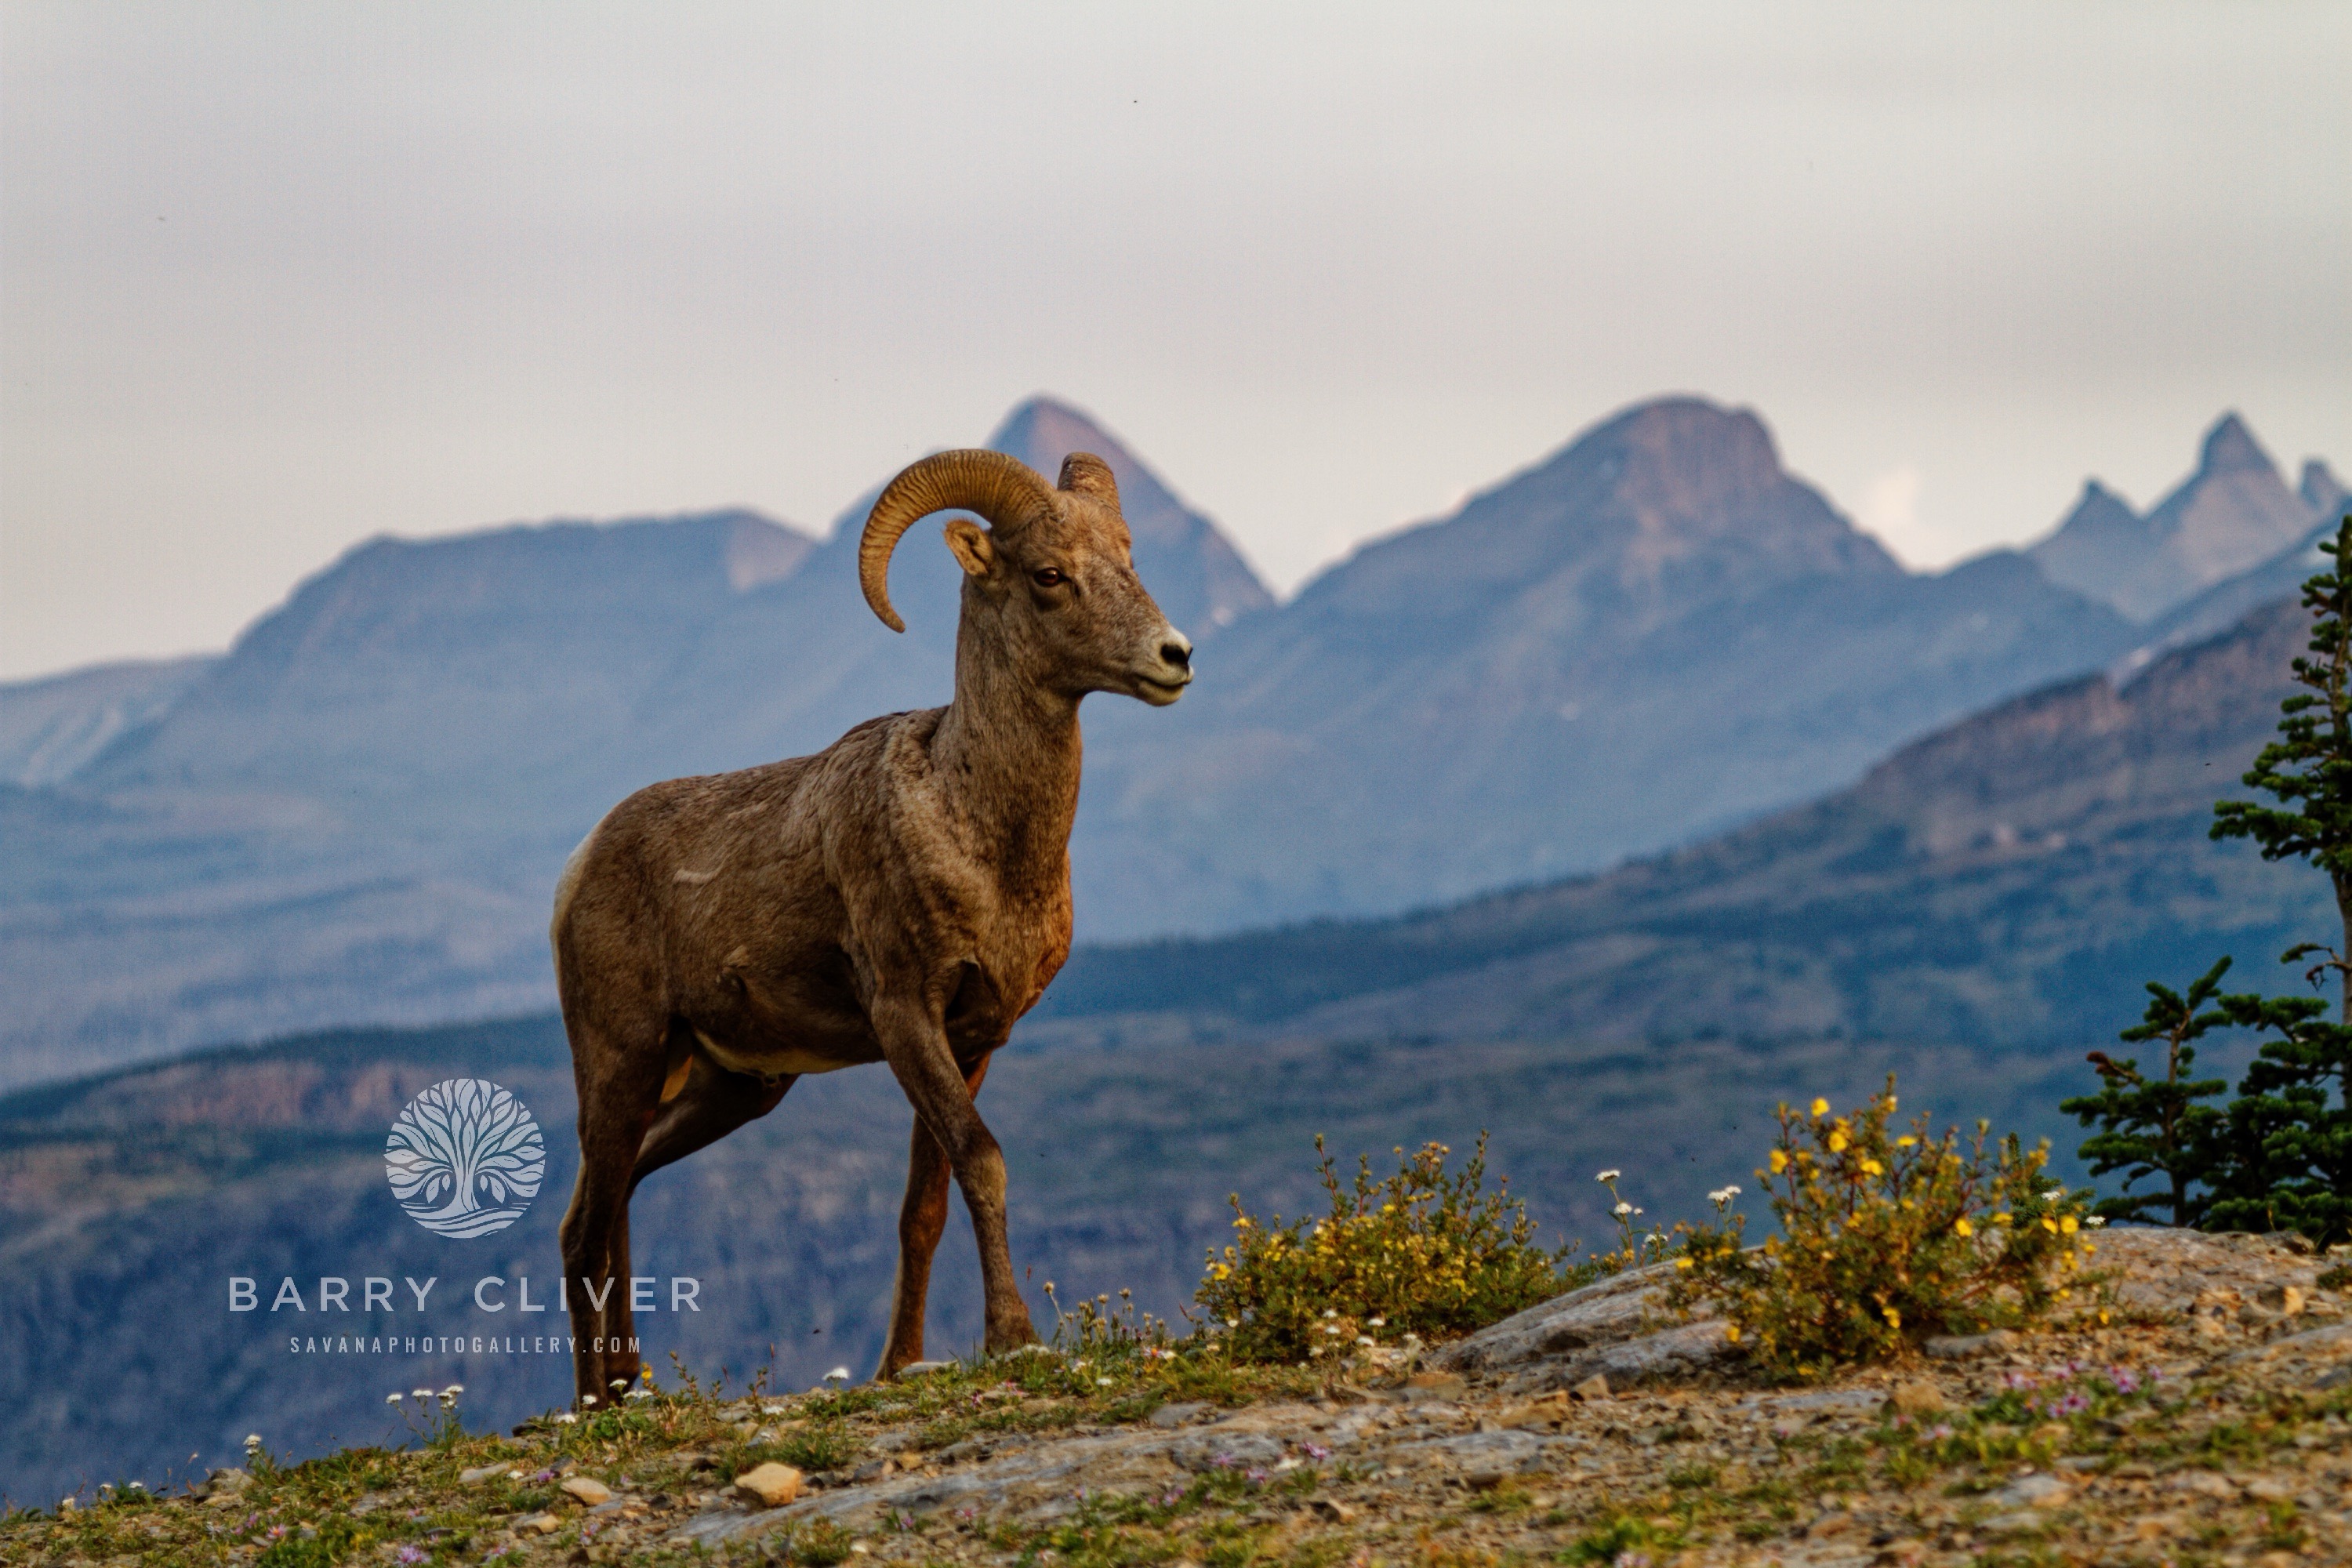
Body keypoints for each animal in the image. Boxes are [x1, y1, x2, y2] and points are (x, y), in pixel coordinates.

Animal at [555, 446, 1195, 1401]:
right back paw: (594, 1403)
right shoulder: (905, 1018)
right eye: (1049, 575)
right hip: (621, 1061)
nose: (1174, 656)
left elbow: (924, 1205)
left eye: (1128, 559)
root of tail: (581, 864)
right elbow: (982, 1159)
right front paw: (1013, 1338)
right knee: (587, 1224)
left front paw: (903, 1362)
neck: (977, 832)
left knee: (619, 1189)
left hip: (730, 1085)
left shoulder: (975, 1039)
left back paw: (632, 1383)